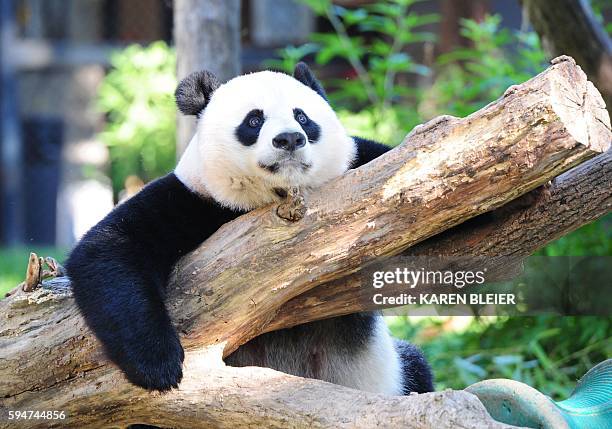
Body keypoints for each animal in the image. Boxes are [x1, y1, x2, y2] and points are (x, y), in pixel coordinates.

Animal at [65, 61, 430, 396]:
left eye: (302, 117)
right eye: (254, 120)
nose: (289, 139)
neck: (276, 196)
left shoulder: (364, 164)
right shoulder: (193, 200)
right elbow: (109, 248)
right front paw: (158, 364)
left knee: (417, 366)